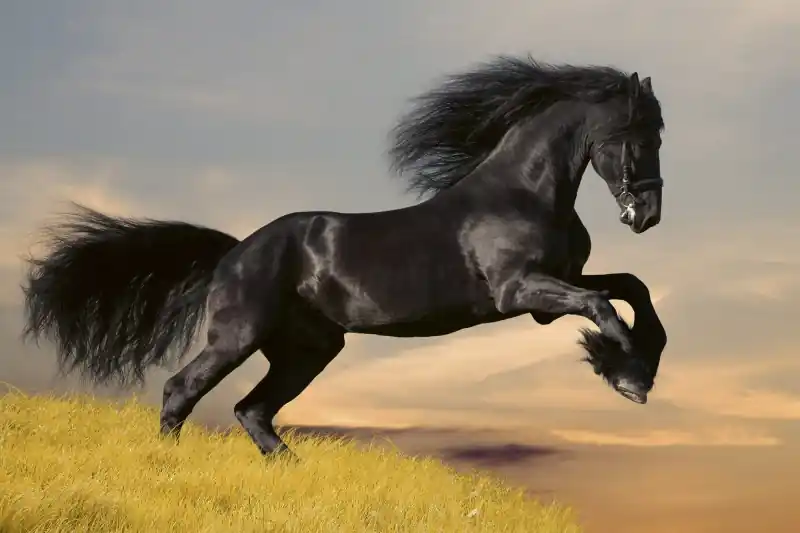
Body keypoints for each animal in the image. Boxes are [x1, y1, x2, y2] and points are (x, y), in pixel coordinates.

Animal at [21, 55, 667, 459]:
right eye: (640, 134)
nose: (648, 215)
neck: (524, 192)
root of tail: (235, 251)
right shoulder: (521, 292)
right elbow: (602, 305)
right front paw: (626, 376)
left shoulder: (552, 289)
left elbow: (630, 287)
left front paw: (636, 364)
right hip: (239, 335)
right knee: (183, 390)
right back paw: (170, 464)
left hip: (309, 348)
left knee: (252, 410)